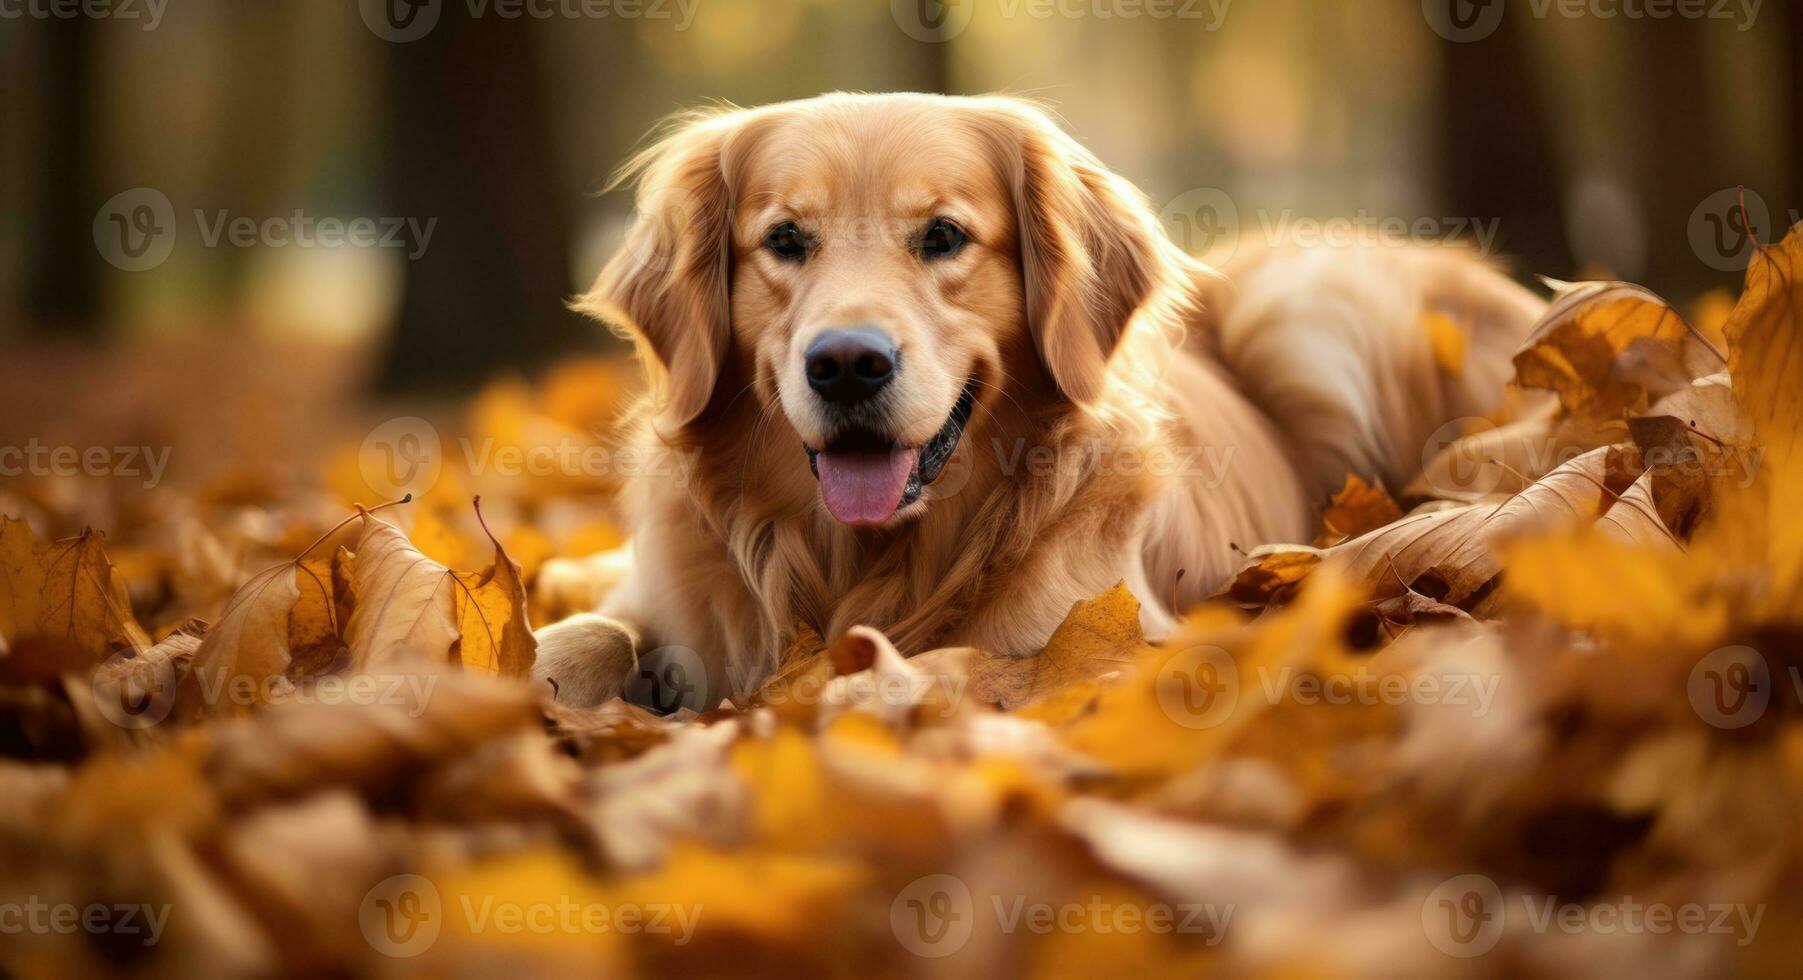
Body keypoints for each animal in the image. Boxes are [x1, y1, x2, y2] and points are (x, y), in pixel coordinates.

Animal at [526, 91, 1543, 709]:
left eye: (942, 235)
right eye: (784, 240)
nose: (847, 364)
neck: (870, 562)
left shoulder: (1097, 643)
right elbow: (586, 631)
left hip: (1309, 293)